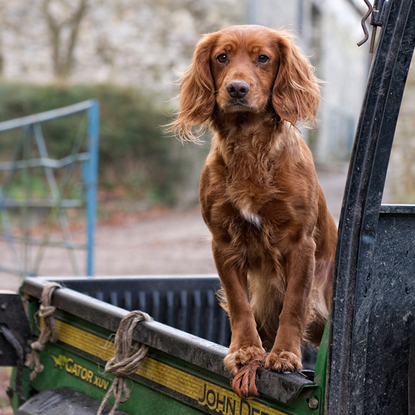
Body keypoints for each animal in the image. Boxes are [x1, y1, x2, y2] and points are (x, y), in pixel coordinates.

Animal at [171, 25, 336, 400]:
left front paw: (284, 355)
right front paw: (246, 350)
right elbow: (238, 303)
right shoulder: (223, 242)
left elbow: (294, 303)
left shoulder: (300, 243)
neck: (248, 147)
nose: (237, 88)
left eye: (263, 58)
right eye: (222, 57)